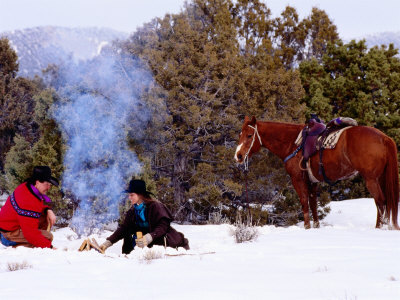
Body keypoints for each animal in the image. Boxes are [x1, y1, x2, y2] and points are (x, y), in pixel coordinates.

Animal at [234, 115, 400, 230]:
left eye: (249, 135)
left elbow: (304, 202)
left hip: (371, 179)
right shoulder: (312, 182)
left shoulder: (298, 179)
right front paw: (316, 226)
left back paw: (378, 227)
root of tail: (384, 138)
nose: (239, 156)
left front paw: (307, 227)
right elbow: (313, 204)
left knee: (380, 201)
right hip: (381, 178)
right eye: (240, 134)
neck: (292, 142)